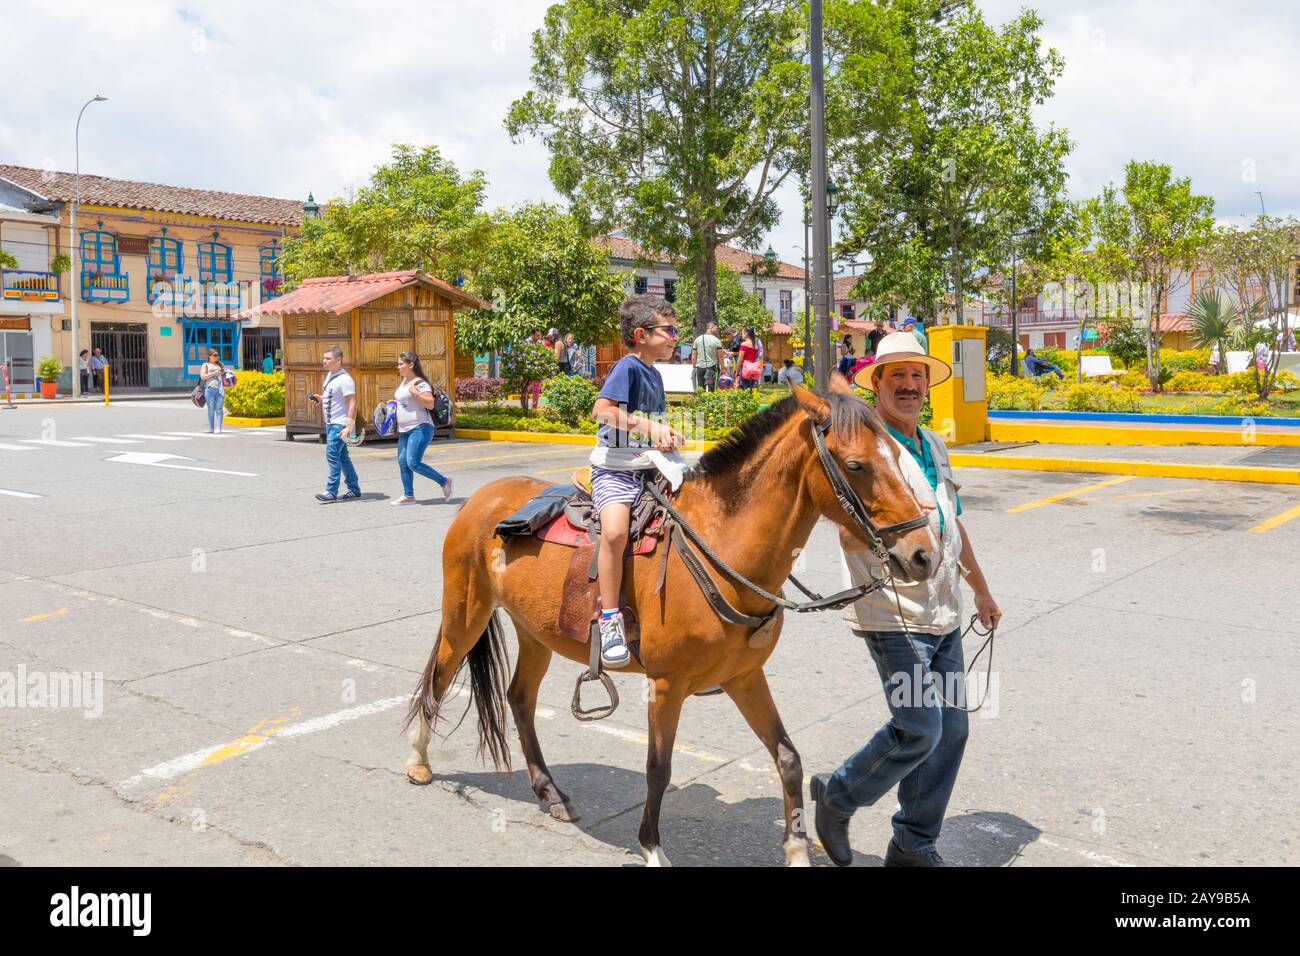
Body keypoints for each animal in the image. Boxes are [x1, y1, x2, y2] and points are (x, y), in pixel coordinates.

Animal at [405, 382, 935, 868]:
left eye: (896, 453)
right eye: (857, 465)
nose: (923, 554)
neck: (721, 549)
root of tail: (484, 496)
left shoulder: (745, 676)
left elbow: (787, 757)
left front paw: (797, 851)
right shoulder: (666, 685)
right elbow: (658, 768)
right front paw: (652, 848)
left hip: (535, 633)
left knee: (519, 700)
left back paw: (549, 792)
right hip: (466, 614)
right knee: (439, 676)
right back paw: (418, 760)